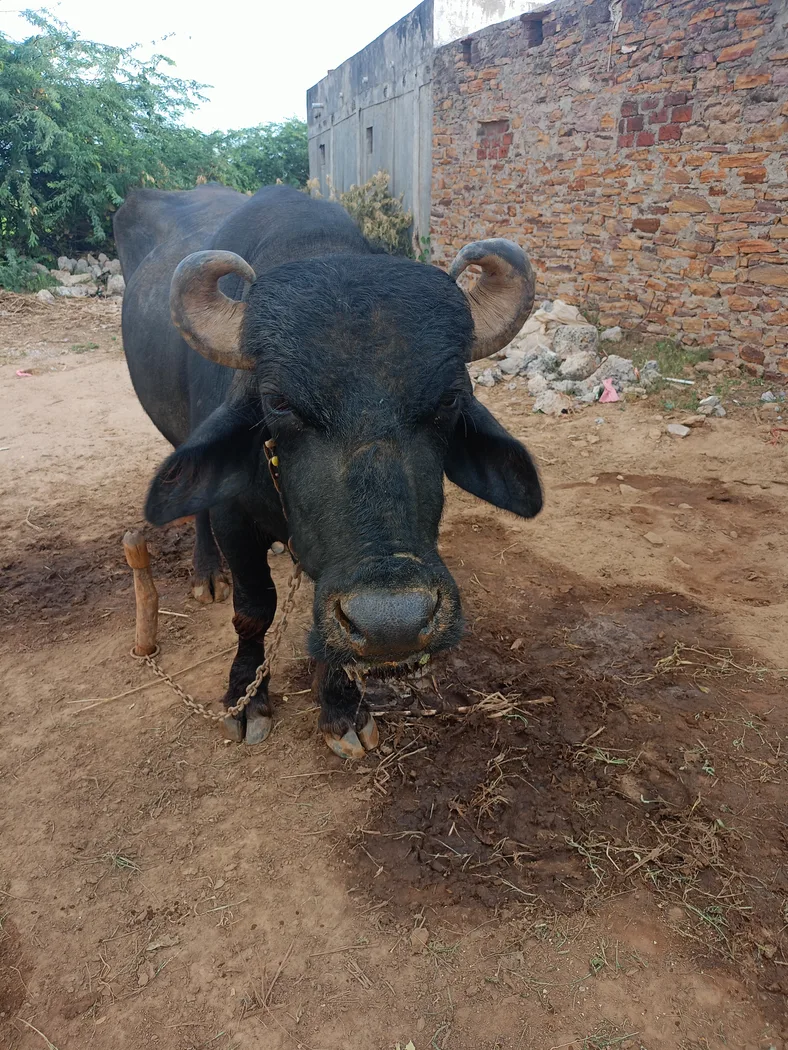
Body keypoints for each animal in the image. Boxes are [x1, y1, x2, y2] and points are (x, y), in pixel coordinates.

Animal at [114, 183, 542, 758]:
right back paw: (208, 574)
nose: (392, 623)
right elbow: (254, 608)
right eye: (277, 402)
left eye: (450, 397)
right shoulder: (233, 516)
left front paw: (341, 707)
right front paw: (246, 699)